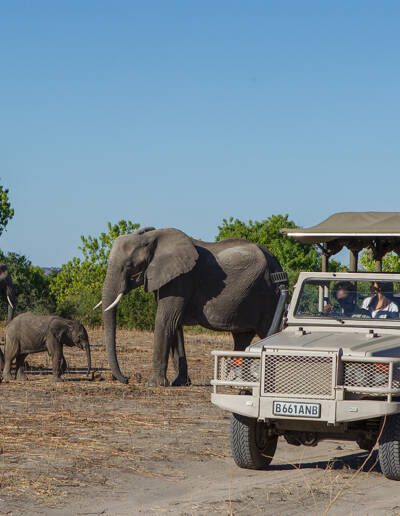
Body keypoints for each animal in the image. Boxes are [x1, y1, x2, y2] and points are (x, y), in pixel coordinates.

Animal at [100, 227, 283, 387]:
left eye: (129, 266)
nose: (128, 378)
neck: (152, 237)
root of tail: (277, 260)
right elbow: (175, 325)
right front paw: (180, 383)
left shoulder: (182, 279)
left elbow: (165, 320)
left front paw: (154, 384)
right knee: (242, 337)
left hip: (270, 294)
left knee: (267, 332)